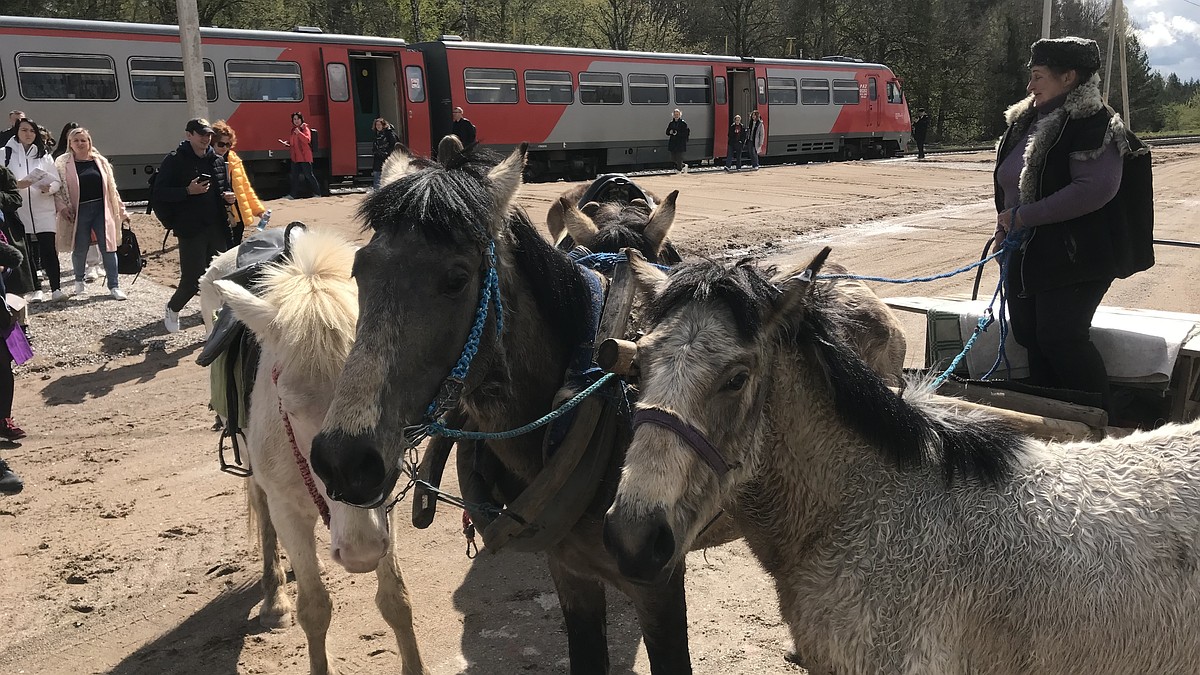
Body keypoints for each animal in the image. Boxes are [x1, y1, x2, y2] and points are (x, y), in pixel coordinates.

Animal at [204, 227, 429, 672]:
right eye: (289, 406)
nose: (360, 552)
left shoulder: (385, 501)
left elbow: (396, 600)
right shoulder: (289, 510)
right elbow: (315, 609)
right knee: (264, 515)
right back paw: (274, 599)